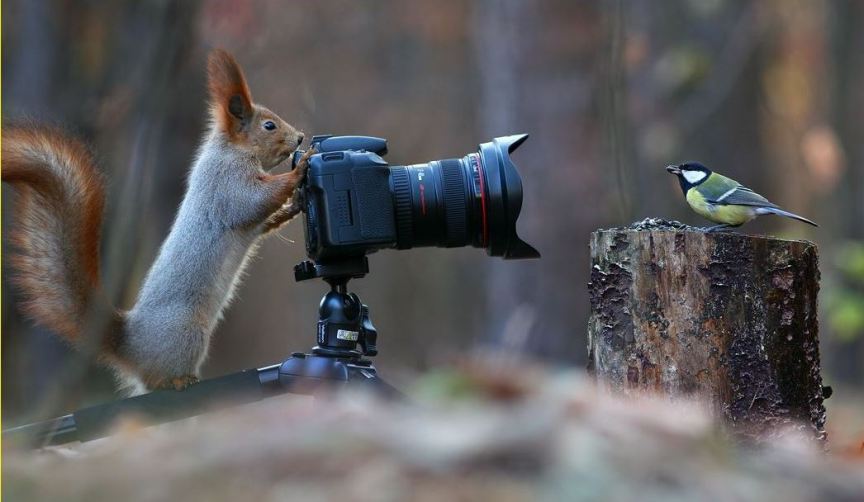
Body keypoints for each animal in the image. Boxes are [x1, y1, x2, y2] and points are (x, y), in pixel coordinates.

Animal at [2, 49, 314, 394]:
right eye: (269, 126)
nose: (300, 137)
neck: (231, 150)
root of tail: (131, 346)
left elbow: (265, 221)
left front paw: (296, 203)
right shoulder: (226, 183)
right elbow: (253, 201)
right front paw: (300, 169)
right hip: (188, 333)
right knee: (157, 380)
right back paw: (180, 380)